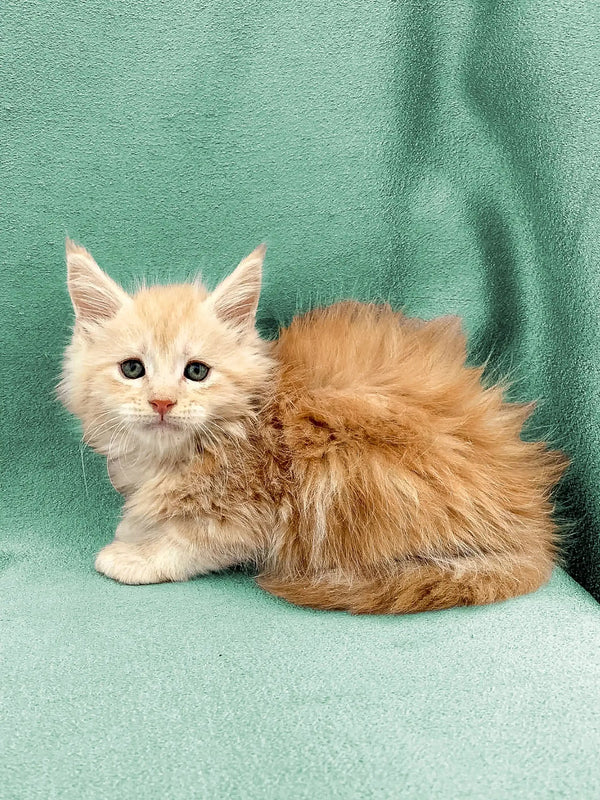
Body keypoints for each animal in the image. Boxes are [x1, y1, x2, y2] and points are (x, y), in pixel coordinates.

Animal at [59, 238, 568, 612]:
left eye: (196, 372)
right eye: (132, 369)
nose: (162, 402)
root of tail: (535, 528)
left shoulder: (257, 505)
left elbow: (194, 540)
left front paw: (138, 553)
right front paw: (136, 525)